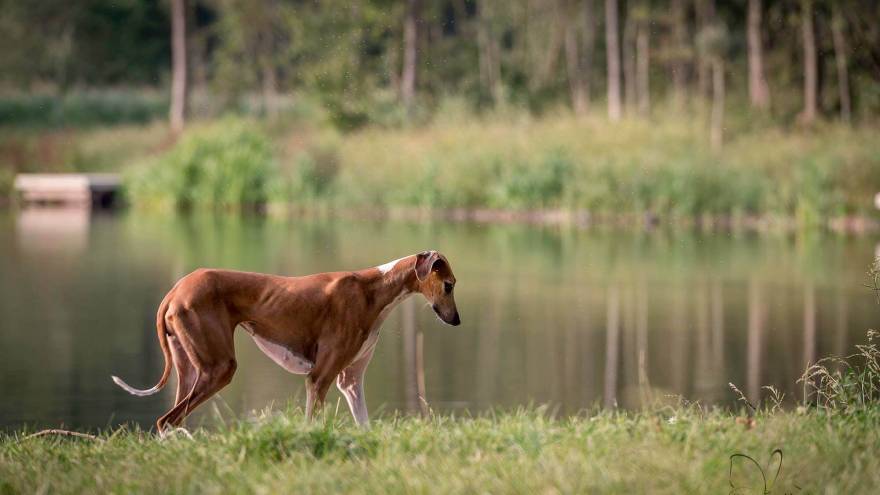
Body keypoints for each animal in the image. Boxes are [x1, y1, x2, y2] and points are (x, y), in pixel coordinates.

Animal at [110, 250, 460, 432]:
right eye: (449, 285)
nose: (456, 321)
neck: (372, 289)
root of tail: (175, 291)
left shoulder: (350, 382)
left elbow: (364, 426)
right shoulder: (318, 379)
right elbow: (310, 423)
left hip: (189, 371)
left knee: (167, 420)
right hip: (218, 368)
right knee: (167, 420)